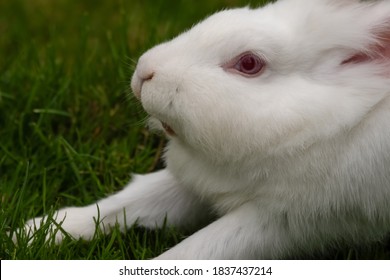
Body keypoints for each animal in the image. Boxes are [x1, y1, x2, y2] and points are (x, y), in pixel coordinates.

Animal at [19, 0, 390, 260]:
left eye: (249, 63)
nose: (144, 72)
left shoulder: (288, 220)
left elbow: (192, 252)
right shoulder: (198, 181)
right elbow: (133, 200)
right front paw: (34, 231)